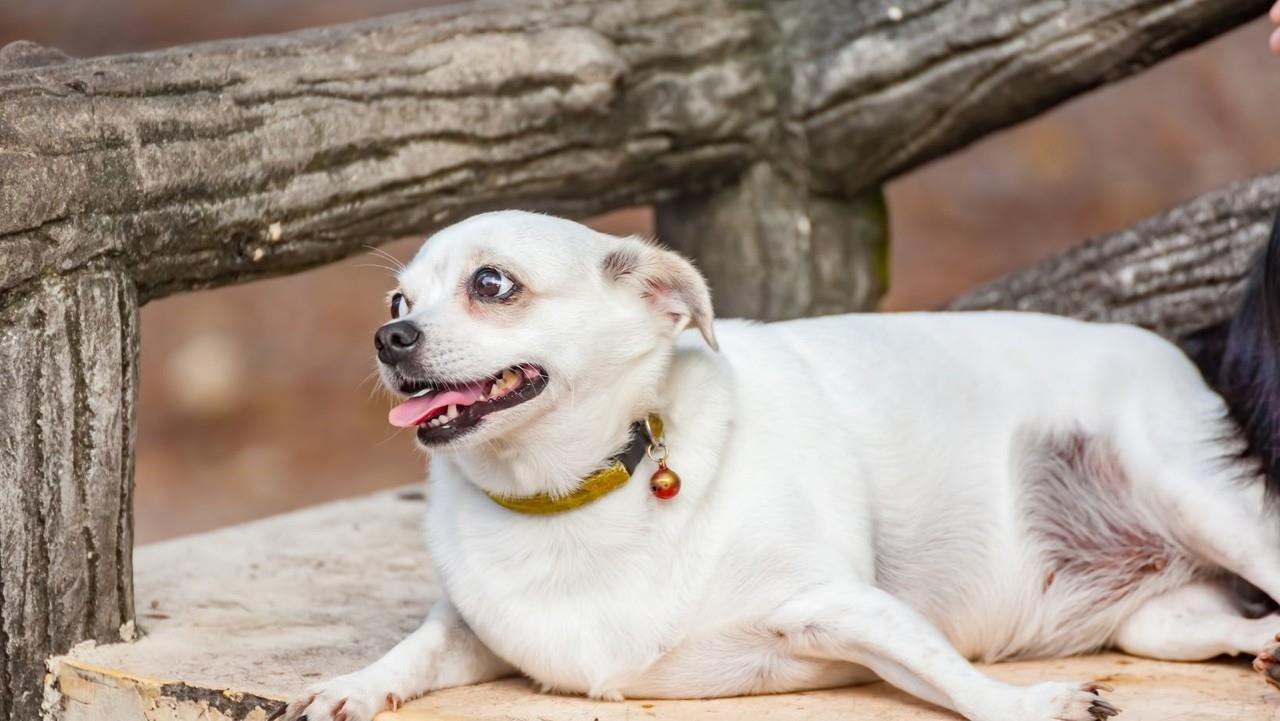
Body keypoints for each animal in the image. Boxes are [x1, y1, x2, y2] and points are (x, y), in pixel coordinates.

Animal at [285, 210, 1280, 721]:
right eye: (398, 299)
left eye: (493, 285)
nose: (388, 336)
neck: (576, 498)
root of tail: (1170, 351)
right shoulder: (470, 630)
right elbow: (414, 649)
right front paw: (350, 686)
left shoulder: (844, 607)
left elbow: (954, 679)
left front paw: (1035, 706)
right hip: (1155, 620)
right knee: (1222, 620)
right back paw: (1265, 647)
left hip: (1196, 497)